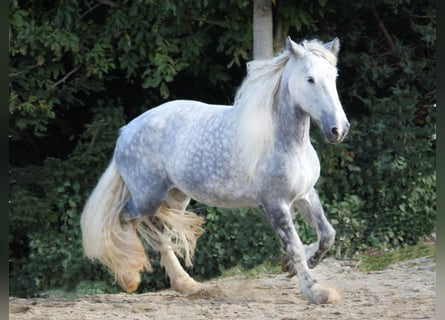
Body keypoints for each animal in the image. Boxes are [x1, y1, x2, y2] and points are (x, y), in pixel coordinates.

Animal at [81, 36, 348, 304]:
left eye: (334, 76)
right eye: (310, 79)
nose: (338, 130)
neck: (287, 143)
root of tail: (126, 131)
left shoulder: (304, 194)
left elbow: (327, 234)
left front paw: (291, 268)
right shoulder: (276, 204)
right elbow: (294, 246)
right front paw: (316, 291)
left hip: (176, 198)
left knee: (161, 233)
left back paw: (186, 285)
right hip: (148, 198)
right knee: (126, 220)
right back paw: (131, 276)